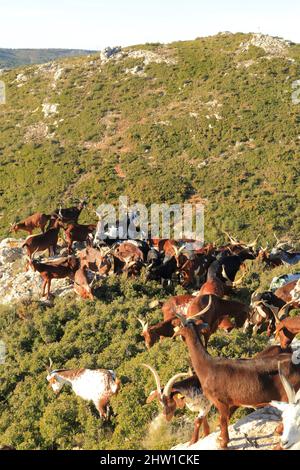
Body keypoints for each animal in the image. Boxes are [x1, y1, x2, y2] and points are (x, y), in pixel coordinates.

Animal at [173, 312, 300, 448]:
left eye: (181, 326)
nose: (176, 336)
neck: (207, 367)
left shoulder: (221, 401)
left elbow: (222, 420)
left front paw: (223, 442)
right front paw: (221, 439)